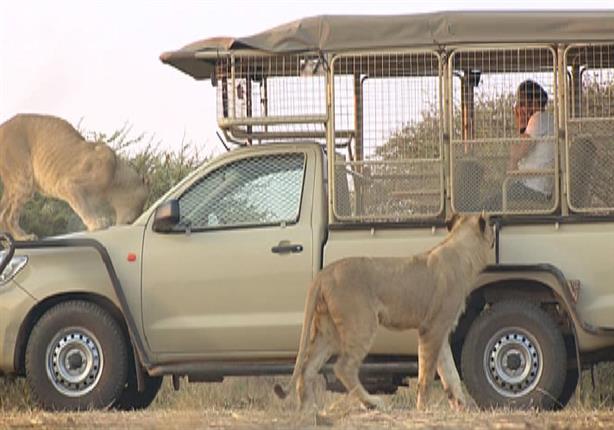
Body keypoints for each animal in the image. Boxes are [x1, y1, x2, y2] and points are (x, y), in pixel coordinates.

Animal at [0, 112, 149, 240]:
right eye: (141, 203)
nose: (134, 220)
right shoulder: (67, 185)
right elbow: (83, 207)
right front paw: (96, 224)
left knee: (2, 212)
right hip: (23, 179)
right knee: (8, 216)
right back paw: (24, 237)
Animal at [276, 214, 498, 414]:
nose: (495, 229)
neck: (462, 250)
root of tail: (324, 273)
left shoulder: (441, 330)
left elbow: (449, 372)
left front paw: (460, 405)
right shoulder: (431, 328)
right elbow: (426, 374)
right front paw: (423, 409)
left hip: (327, 331)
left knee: (307, 368)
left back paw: (308, 410)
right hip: (362, 324)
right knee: (343, 368)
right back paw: (372, 403)